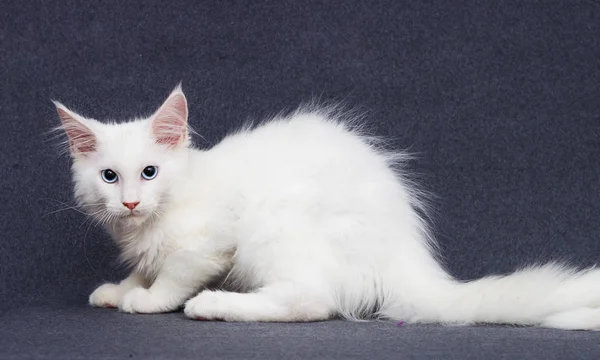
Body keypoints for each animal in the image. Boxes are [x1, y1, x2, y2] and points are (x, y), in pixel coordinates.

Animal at [55, 86, 600, 330]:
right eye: (109, 177)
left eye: (149, 173)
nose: (129, 201)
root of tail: (408, 256)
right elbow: (143, 269)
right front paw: (121, 289)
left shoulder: (208, 245)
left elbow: (171, 276)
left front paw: (145, 299)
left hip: (275, 229)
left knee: (311, 301)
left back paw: (216, 305)